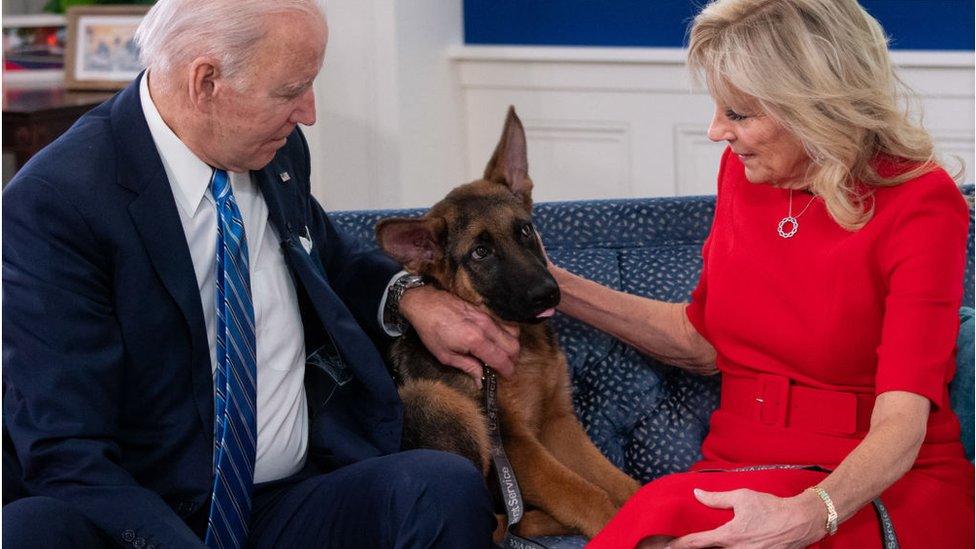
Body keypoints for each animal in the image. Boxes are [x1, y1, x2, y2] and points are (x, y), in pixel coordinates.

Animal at [374, 107, 640, 536]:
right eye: (480, 253)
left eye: (525, 230)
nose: (547, 294)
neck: (523, 344)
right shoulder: (516, 442)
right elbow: (584, 493)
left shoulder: (556, 422)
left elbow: (617, 481)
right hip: (436, 401)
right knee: (498, 524)